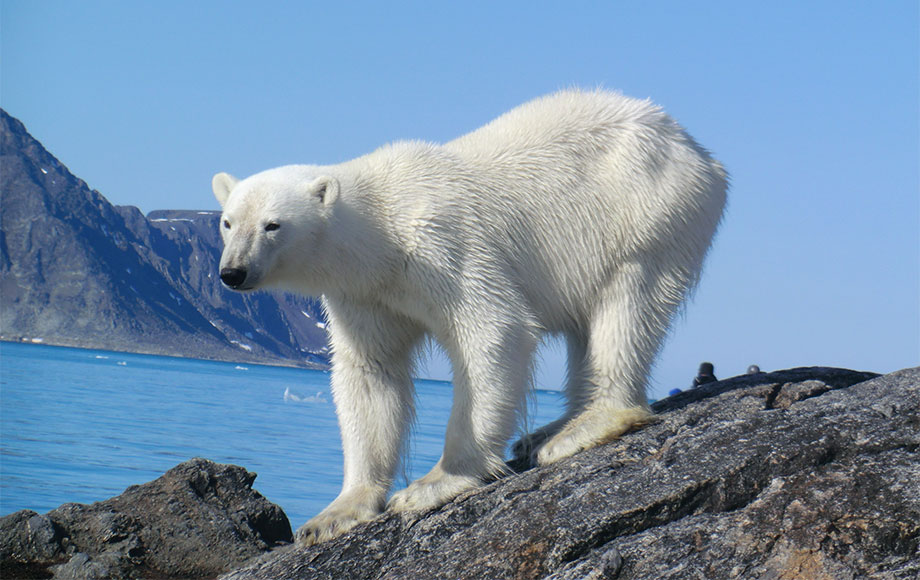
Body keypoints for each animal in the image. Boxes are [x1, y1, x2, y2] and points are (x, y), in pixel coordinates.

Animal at [211, 89, 728, 545]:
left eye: (273, 224)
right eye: (228, 221)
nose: (232, 273)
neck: (379, 231)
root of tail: (695, 147)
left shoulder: (441, 245)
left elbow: (493, 330)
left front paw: (434, 483)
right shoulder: (365, 294)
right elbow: (371, 373)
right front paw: (334, 515)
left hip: (645, 209)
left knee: (626, 305)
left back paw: (583, 427)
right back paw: (548, 429)